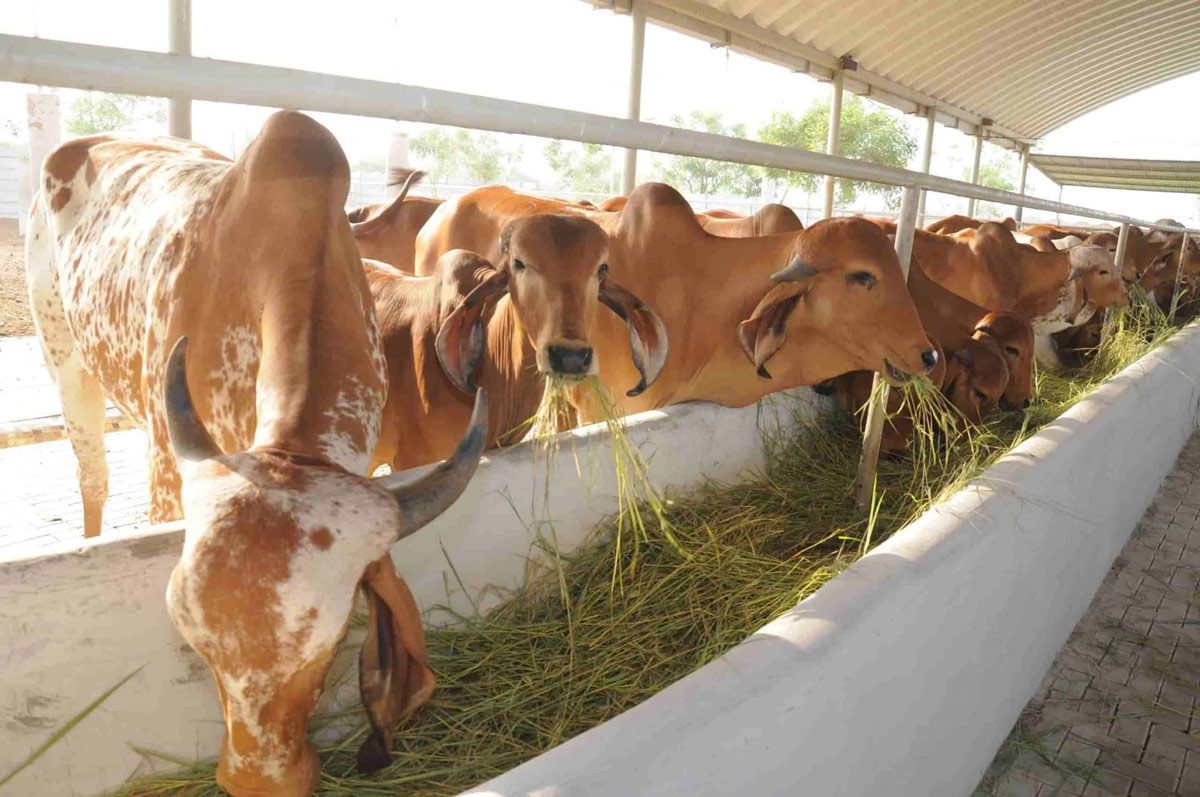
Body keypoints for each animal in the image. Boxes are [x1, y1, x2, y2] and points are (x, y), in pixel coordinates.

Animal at [25, 112, 487, 797]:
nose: (256, 783)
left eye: (333, 644)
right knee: (93, 478)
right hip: (64, 357)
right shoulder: (167, 473)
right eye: (193, 639)